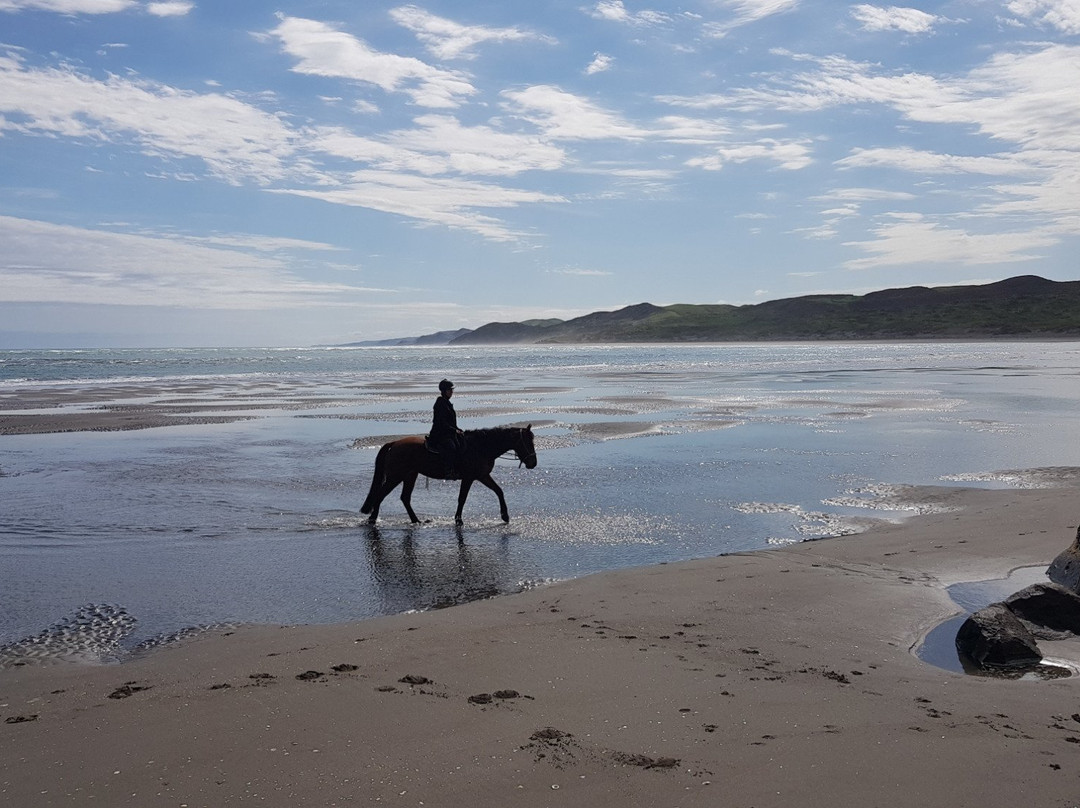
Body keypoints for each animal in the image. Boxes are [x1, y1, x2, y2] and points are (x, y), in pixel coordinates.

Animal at [360, 425, 537, 525]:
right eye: (527, 442)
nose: (533, 463)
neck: (481, 447)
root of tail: (394, 443)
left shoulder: (482, 476)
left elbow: (499, 491)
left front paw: (505, 516)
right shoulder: (471, 477)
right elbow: (462, 498)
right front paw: (458, 520)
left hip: (410, 475)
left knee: (405, 498)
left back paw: (415, 520)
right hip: (395, 476)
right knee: (381, 494)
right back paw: (372, 519)